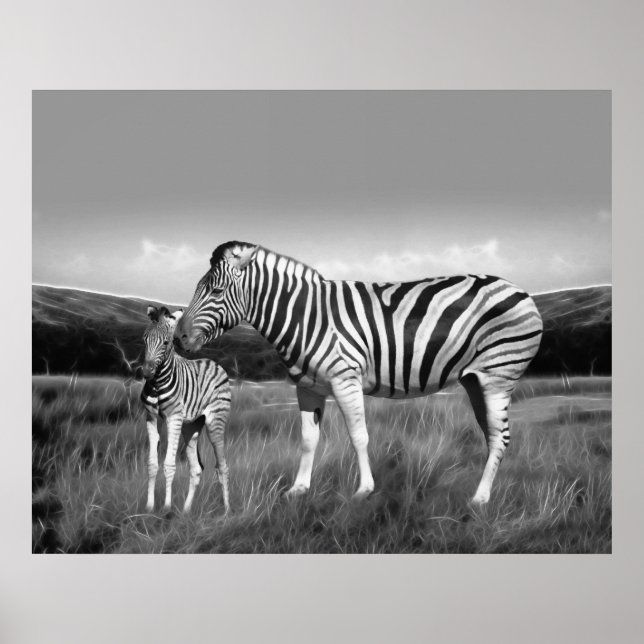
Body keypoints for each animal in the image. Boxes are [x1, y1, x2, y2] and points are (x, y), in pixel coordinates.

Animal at [141, 305, 231, 513]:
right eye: (144, 339)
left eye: (166, 342)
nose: (146, 372)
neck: (157, 383)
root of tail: (215, 363)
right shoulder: (150, 417)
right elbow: (151, 465)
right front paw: (149, 507)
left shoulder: (174, 418)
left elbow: (169, 465)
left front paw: (166, 508)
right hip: (192, 426)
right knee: (196, 469)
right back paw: (186, 511)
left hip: (216, 421)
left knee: (222, 466)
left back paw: (227, 511)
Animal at [176, 241, 542, 505]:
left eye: (216, 291)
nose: (178, 339)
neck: (306, 317)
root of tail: (520, 290)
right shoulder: (307, 387)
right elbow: (308, 439)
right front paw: (298, 489)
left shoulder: (345, 378)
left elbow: (358, 435)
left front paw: (364, 490)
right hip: (475, 380)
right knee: (491, 435)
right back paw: (481, 491)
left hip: (499, 374)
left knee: (501, 436)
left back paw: (480, 499)